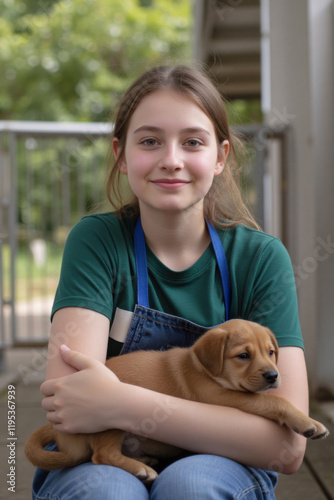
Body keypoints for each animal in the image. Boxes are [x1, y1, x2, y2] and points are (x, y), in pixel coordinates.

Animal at [24, 318, 328, 482]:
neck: (205, 369)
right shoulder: (223, 397)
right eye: (243, 356)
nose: (273, 376)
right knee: (102, 455)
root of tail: (63, 437)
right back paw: (141, 468)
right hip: (109, 417)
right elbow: (274, 402)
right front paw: (309, 423)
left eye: (271, 352)